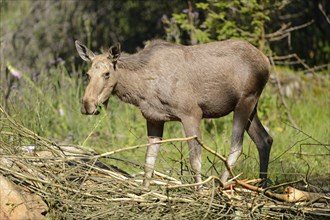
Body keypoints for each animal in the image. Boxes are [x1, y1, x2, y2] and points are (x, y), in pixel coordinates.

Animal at [75, 38, 274, 188]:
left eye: (107, 73)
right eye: (88, 74)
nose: (87, 105)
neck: (141, 89)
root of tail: (266, 62)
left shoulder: (192, 113)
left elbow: (195, 161)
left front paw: (199, 192)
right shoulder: (154, 119)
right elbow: (149, 162)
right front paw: (144, 192)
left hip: (245, 101)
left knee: (237, 147)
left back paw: (221, 187)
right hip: (252, 106)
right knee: (265, 139)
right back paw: (262, 186)